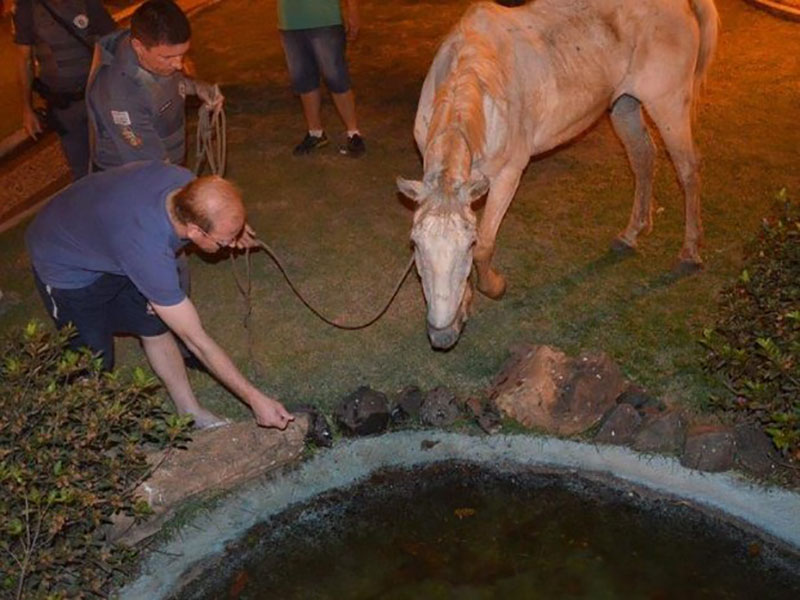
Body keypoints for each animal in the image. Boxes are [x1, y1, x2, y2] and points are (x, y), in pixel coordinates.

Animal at [400, 0, 720, 350]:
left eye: (467, 245)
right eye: (416, 244)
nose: (441, 335)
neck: (479, 81)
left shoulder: (508, 175)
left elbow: (487, 243)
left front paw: (492, 287)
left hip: (669, 105)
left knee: (688, 169)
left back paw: (690, 251)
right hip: (624, 104)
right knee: (643, 159)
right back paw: (631, 233)